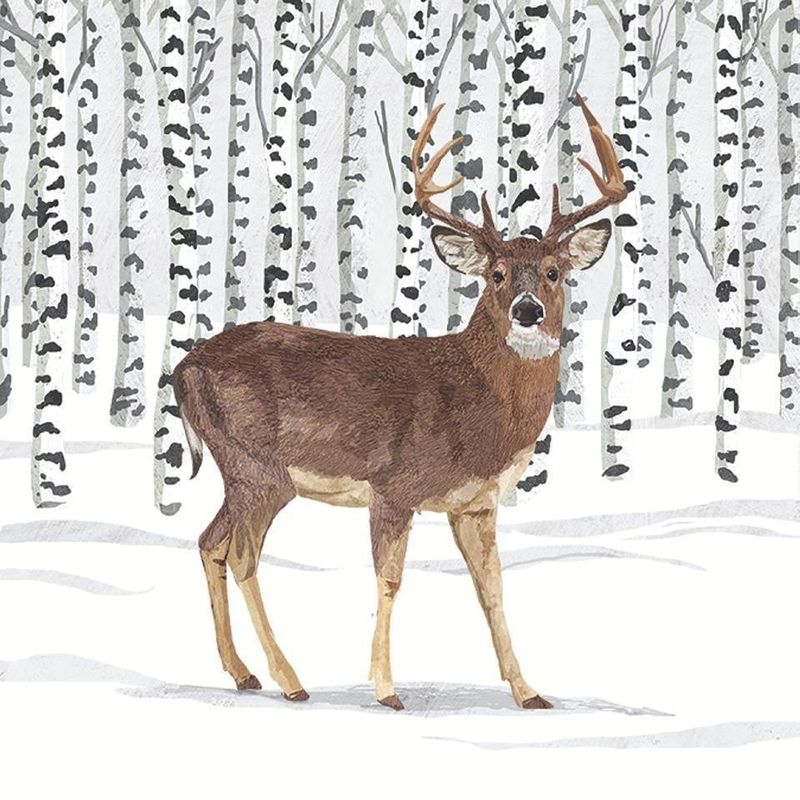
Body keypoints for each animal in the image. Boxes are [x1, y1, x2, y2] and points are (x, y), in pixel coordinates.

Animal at [174, 94, 627, 711]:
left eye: (555, 272)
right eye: (497, 273)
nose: (528, 310)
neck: (479, 407)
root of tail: (183, 368)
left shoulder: (476, 503)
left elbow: (492, 589)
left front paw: (529, 691)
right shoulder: (394, 486)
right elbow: (390, 581)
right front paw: (387, 689)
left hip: (238, 471)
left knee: (209, 543)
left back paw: (243, 673)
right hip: (258, 467)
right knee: (242, 555)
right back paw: (290, 680)